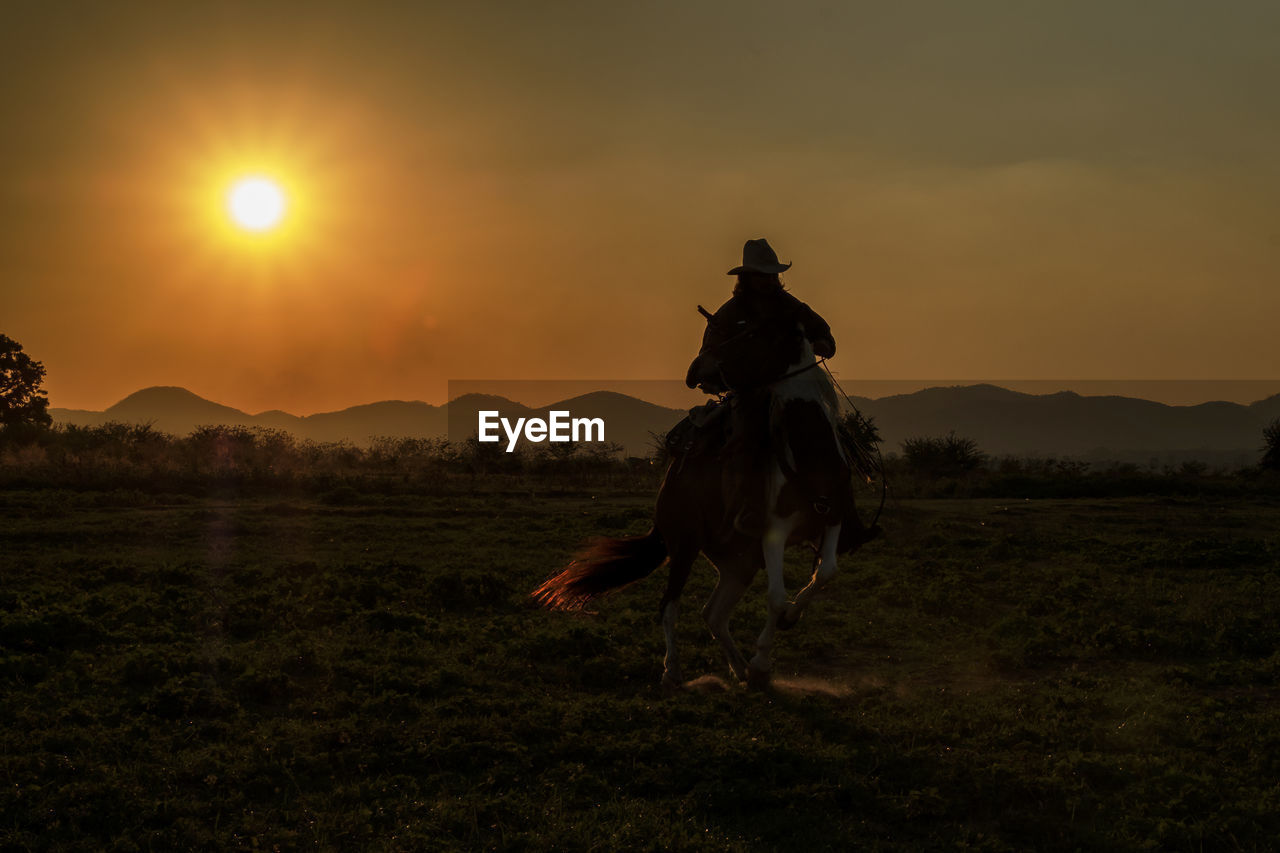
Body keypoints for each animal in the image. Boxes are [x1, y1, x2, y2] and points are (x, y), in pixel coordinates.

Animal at [532, 295, 880, 686]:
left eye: (745, 326)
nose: (697, 371)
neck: (807, 450)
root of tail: (669, 482)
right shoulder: (774, 531)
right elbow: (776, 597)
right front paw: (764, 657)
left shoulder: (831, 518)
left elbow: (827, 573)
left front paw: (786, 626)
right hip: (685, 545)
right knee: (670, 606)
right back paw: (673, 670)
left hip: (739, 563)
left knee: (712, 613)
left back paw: (740, 669)